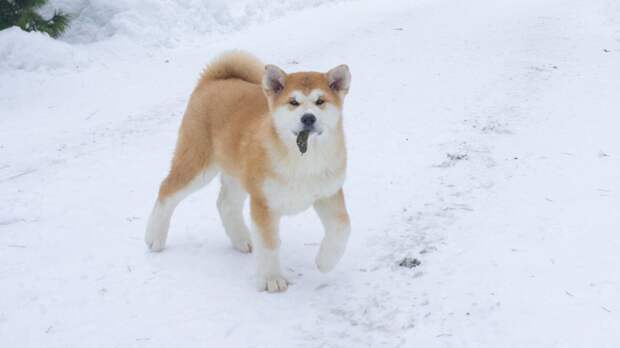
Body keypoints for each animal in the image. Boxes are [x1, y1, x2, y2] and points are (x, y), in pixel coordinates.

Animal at [143, 50, 352, 292]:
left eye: (320, 101)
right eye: (293, 102)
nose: (308, 117)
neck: (305, 158)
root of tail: (212, 80)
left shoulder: (328, 193)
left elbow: (343, 227)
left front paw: (325, 261)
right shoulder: (263, 203)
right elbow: (269, 244)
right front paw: (272, 278)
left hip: (238, 174)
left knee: (226, 204)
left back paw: (242, 239)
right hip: (197, 164)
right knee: (167, 190)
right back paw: (154, 236)